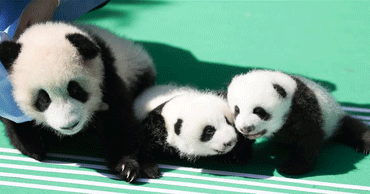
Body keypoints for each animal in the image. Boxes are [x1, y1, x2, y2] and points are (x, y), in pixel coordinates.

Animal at [0, 22, 159, 183]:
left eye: (75, 90)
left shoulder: (106, 75)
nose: (70, 125)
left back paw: (149, 166)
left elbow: (119, 120)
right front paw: (33, 145)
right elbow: (14, 118)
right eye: (43, 99)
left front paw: (126, 166)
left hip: (136, 69)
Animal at [227, 70, 368, 176]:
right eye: (237, 110)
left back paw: (364, 144)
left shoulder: (304, 107)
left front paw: (291, 167)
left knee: (352, 127)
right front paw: (239, 154)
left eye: (259, 111)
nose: (246, 128)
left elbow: (308, 138)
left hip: (334, 120)